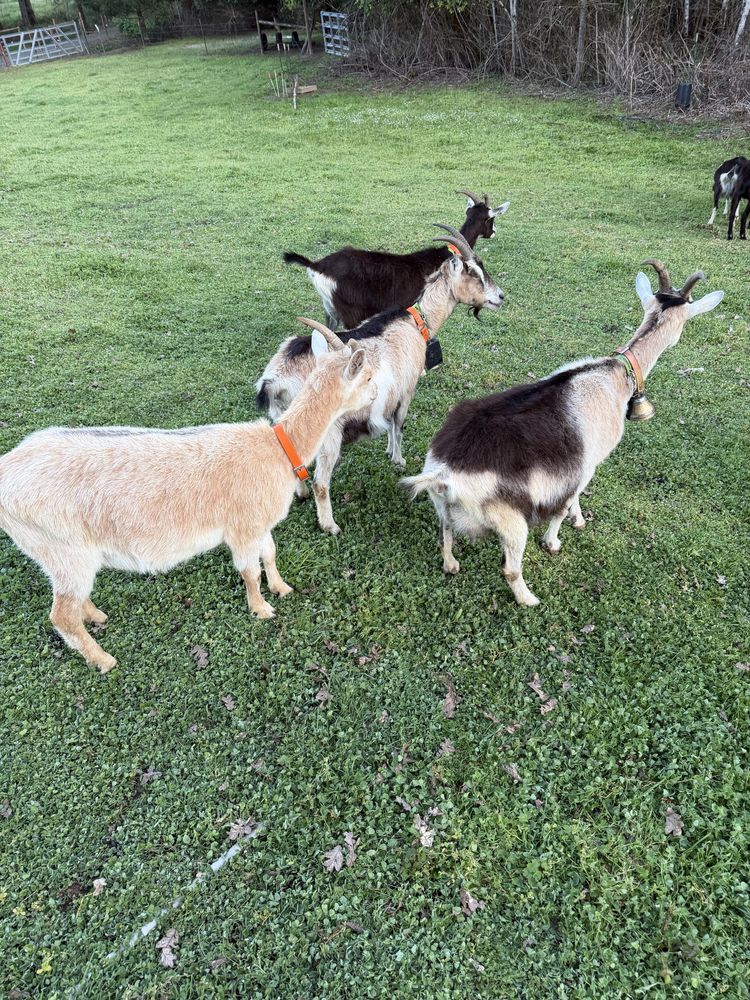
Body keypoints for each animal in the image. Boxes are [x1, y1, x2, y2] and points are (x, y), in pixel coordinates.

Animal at [0, 334, 375, 672]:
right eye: (368, 377)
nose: (374, 396)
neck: (279, 448)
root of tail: (7, 470)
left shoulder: (259, 522)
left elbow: (269, 553)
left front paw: (281, 588)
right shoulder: (242, 527)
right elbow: (249, 571)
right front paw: (261, 609)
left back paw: (96, 616)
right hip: (61, 547)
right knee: (61, 615)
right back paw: (102, 659)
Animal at [257, 225, 504, 535]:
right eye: (473, 272)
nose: (500, 297)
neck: (415, 325)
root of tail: (274, 378)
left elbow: (389, 421)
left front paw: (389, 451)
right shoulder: (407, 389)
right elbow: (398, 424)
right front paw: (398, 459)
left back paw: (299, 494)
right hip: (326, 430)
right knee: (320, 482)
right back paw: (330, 525)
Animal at [282, 189, 509, 329]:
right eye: (491, 218)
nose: (494, 232)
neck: (445, 254)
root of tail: (316, 265)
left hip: (330, 312)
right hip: (351, 315)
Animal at [402, 261, 724, 608]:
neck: (614, 376)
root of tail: (442, 473)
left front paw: (576, 521)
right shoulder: (585, 466)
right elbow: (567, 503)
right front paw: (557, 539)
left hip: (443, 508)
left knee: (445, 534)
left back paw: (451, 565)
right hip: (510, 520)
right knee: (510, 568)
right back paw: (529, 600)